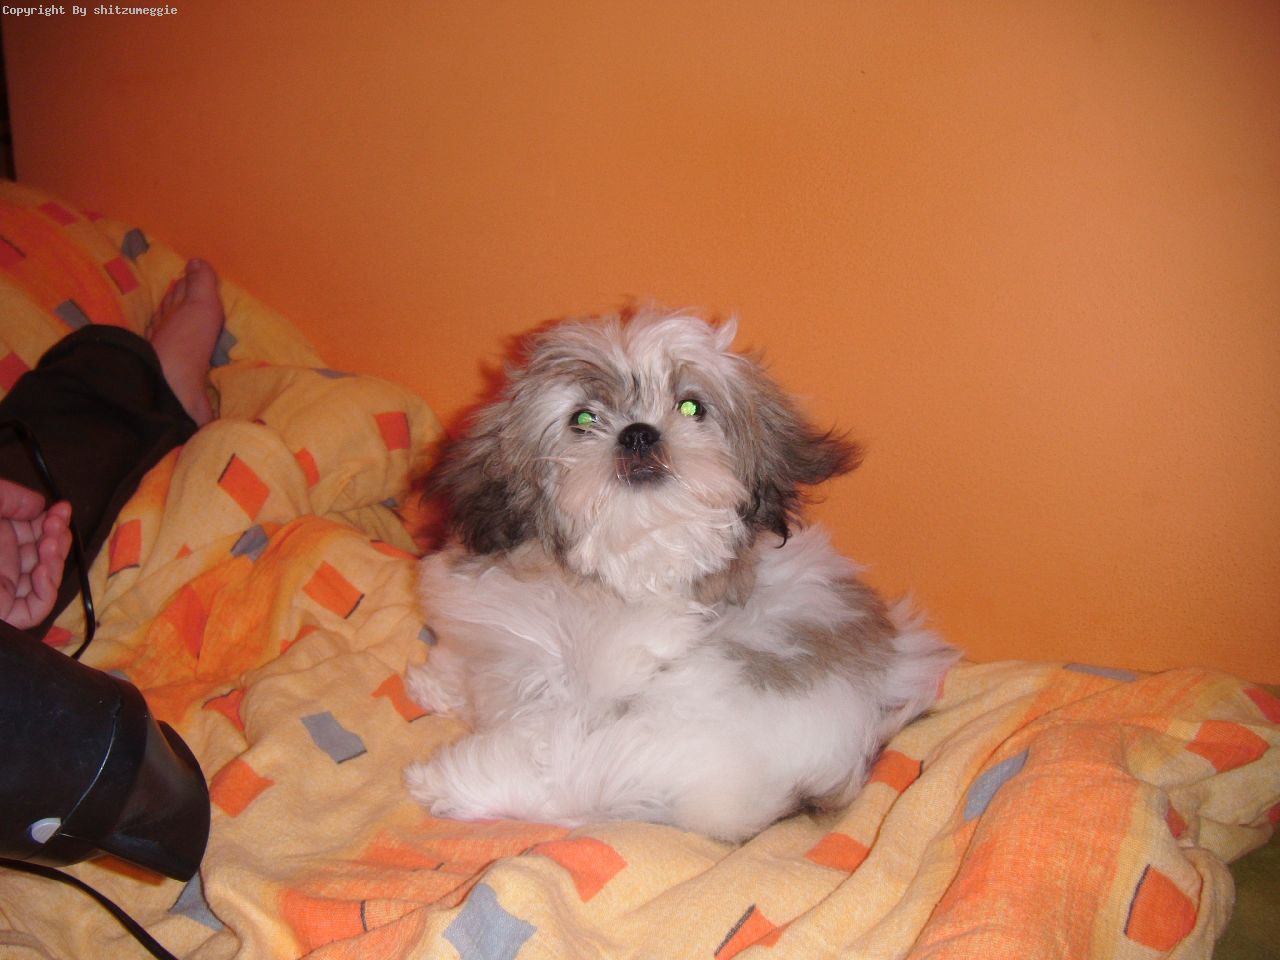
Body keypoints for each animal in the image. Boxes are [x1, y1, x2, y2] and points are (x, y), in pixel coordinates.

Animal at [404, 309, 958, 842]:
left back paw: (449, 784)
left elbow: (546, 750)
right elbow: (468, 659)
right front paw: (437, 685)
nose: (638, 432)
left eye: (691, 408)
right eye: (583, 418)